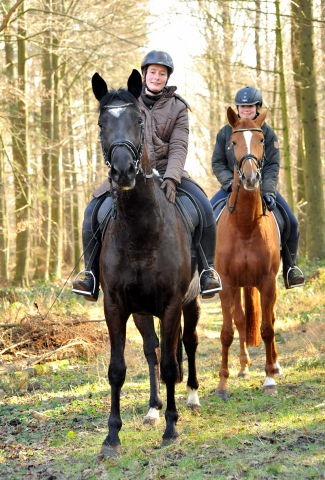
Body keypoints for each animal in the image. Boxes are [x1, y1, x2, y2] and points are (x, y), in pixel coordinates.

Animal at [91, 69, 201, 456]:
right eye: (101, 124)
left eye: (139, 121)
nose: (124, 171)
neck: (140, 229)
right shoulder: (116, 307)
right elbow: (118, 368)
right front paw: (112, 435)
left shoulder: (170, 305)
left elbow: (170, 365)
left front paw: (171, 429)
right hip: (141, 312)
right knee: (152, 351)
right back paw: (154, 409)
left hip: (191, 303)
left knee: (188, 343)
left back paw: (191, 397)